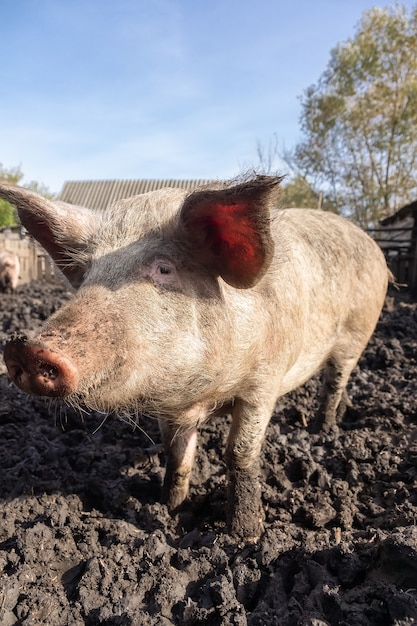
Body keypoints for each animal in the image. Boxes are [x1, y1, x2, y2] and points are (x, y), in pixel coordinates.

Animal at [0, 177, 390, 540]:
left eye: (164, 269)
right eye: (88, 274)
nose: (27, 348)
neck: (201, 397)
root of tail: (372, 245)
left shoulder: (263, 383)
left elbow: (240, 453)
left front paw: (245, 535)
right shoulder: (168, 406)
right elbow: (176, 454)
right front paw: (170, 509)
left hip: (357, 332)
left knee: (335, 379)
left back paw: (323, 429)